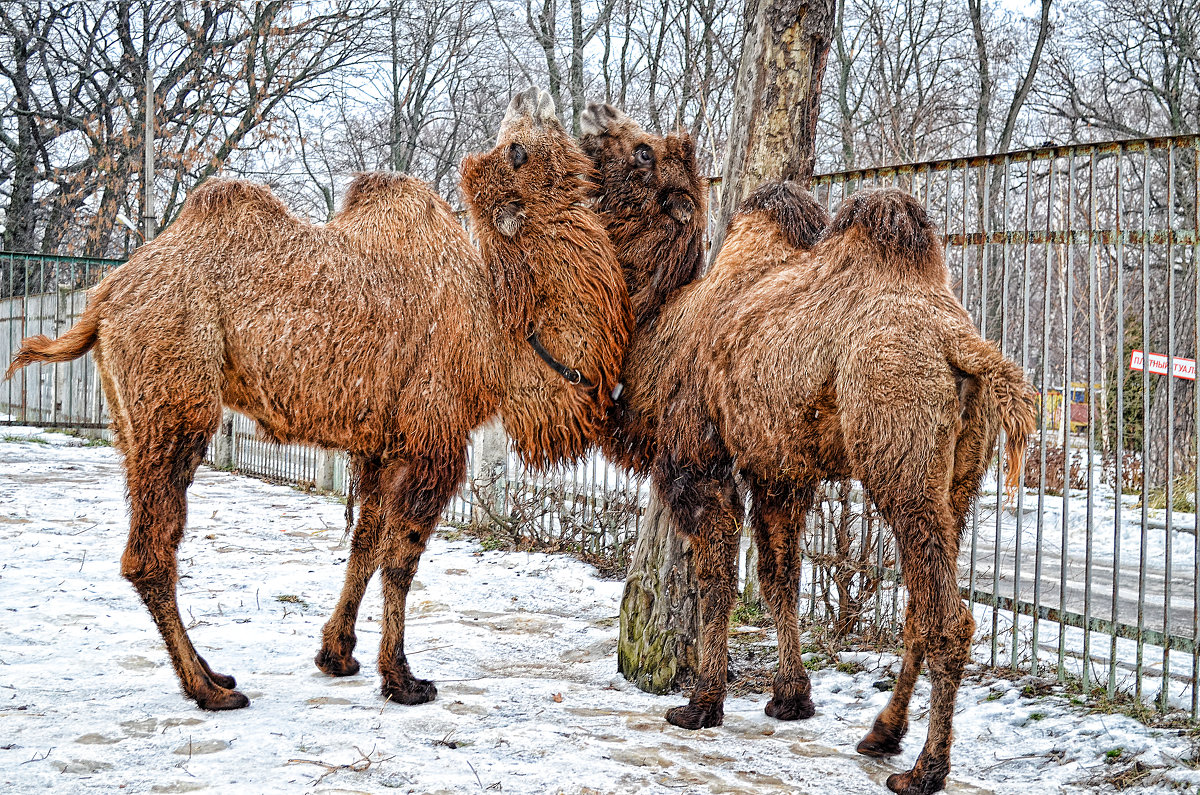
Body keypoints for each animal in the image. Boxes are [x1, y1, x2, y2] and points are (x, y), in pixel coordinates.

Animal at [4, 90, 633, 710]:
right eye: (520, 149)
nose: (531, 97)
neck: (499, 323)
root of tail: (105, 295)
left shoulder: (381, 441)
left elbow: (365, 543)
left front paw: (338, 654)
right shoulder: (434, 434)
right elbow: (402, 559)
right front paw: (403, 680)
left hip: (130, 411)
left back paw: (213, 673)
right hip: (175, 392)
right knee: (151, 550)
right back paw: (208, 690)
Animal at [578, 105, 1032, 795]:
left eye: (642, 152)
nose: (591, 125)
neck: (657, 325)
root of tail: (963, 346)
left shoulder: (698, 458)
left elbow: (715, 577)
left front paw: (700, 703)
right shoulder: (779, 468)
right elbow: (779, 576)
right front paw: (791, 697)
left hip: (900, 461)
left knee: (948, 618)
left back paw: (923, 769)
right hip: (960, 478)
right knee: (921, 607)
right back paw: (881, 733)